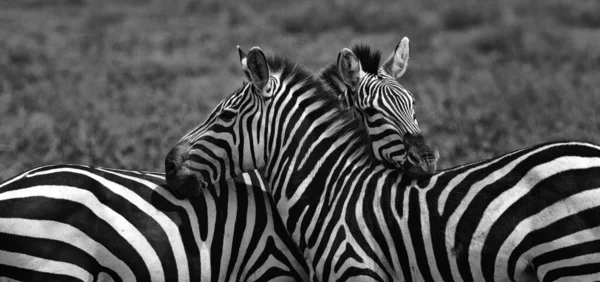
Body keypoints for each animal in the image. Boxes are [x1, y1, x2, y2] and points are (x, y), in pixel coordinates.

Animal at [165, 41, 600, 280]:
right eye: (373, 112)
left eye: (224, 117)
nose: (169, 163)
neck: (331, 193)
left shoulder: (357, 270)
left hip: (575, 262)